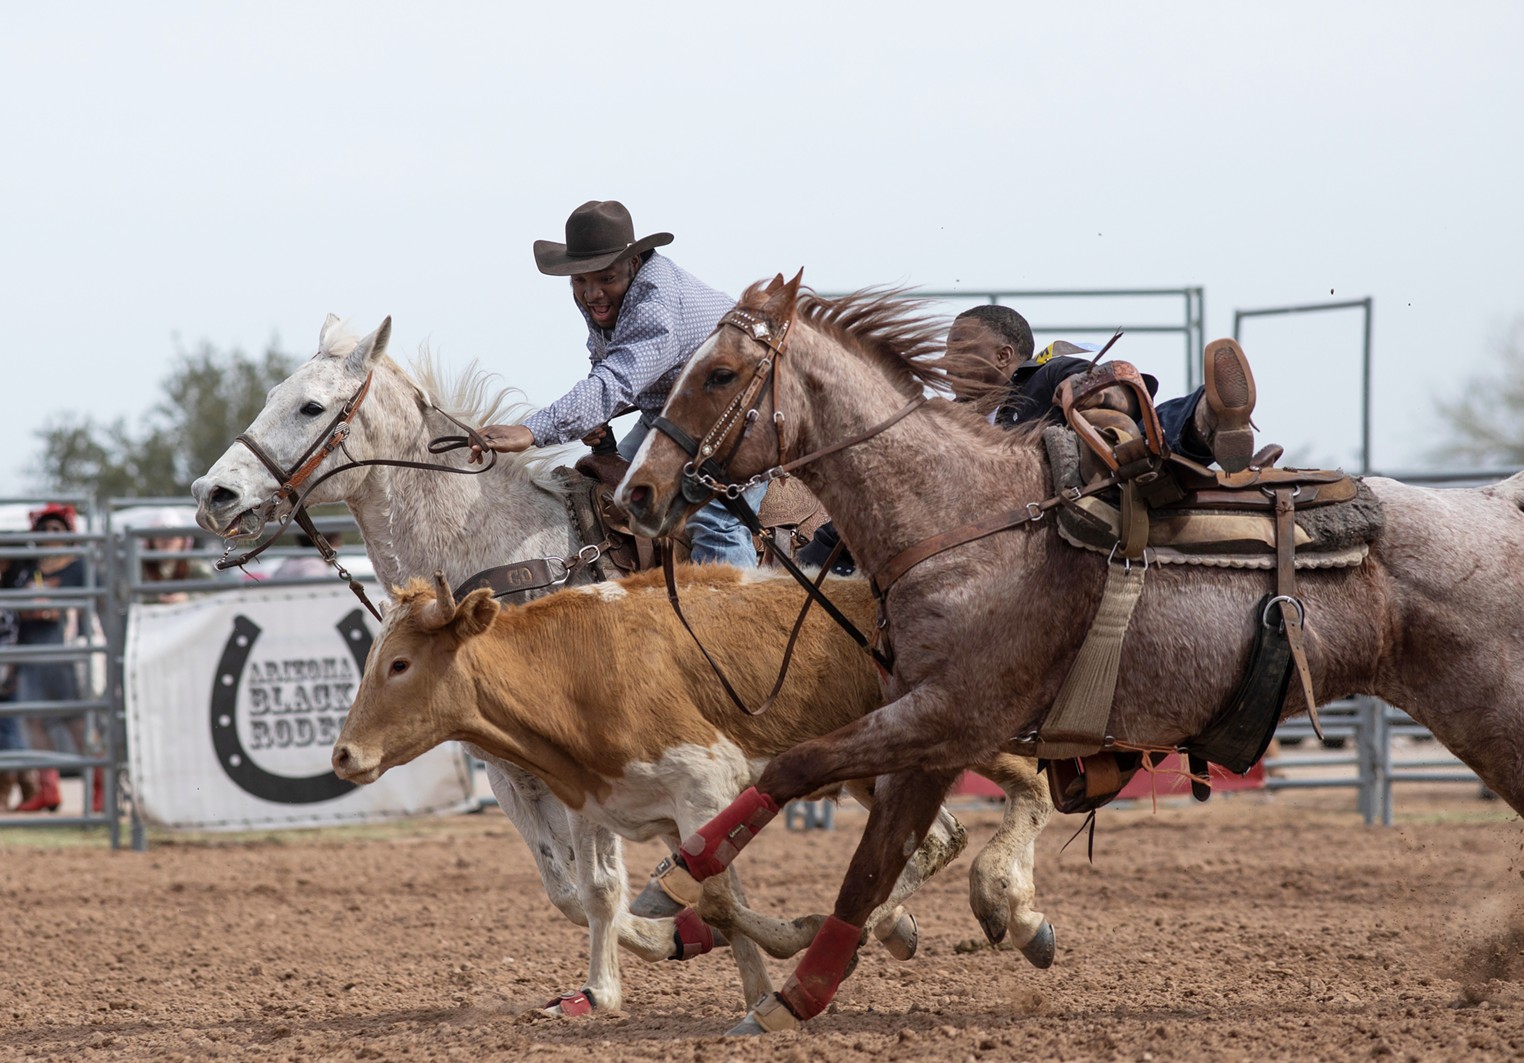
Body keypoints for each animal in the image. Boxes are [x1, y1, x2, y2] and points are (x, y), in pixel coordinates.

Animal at [332, 563, 1048, 1011]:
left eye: (400, 664)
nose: (343, 755)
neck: (575, 670)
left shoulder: (706, 784)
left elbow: (715, 900)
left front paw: (796, 937)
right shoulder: (594, 800)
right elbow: (607, 892)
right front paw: (608, 991)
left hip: (964, 730)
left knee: (1030, 790)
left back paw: (1006, 904)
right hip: (877, 771)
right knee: (936, 839)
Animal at [612, 269, 1524, 1029]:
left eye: (719, 374)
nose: (638, 494)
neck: (964, 517)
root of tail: (1496, 504)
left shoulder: (947, 715)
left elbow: (798, 770)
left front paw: (675, 879)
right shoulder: (933, 733)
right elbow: (872, 860)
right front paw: (797, 989)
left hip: (1493, 713)